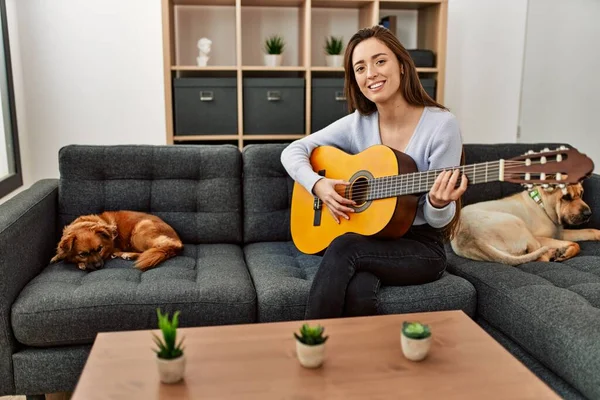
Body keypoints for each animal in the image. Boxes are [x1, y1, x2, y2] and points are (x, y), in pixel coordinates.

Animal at [50, 209, 183, 272]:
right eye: (83, 254)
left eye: (100, 249)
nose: (98, 266)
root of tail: (178, 243)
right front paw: (57, 257)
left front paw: (81, 264)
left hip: (139, 231)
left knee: (152, 249)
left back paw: (126, 254)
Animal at [450, 184, 600, 266]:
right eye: (566, 197)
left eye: (581, 194)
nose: (589, 214)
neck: (541, 204)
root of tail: (474, 240)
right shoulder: (542, 237)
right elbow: (577, 244)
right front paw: (565, 251)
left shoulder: (560, 233)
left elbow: (589, 231)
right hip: (520, 225)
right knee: (541, 257)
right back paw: (555, 252)